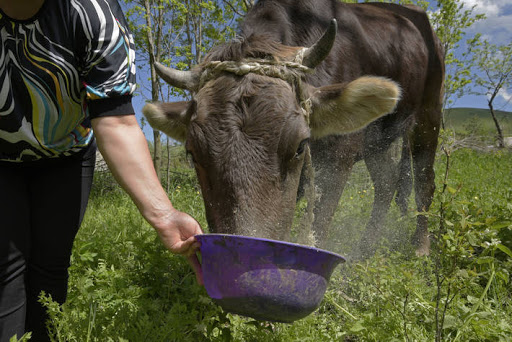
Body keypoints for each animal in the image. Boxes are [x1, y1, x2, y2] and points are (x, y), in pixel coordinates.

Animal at [143, 0, 444, 256]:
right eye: (192, 154)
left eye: (301, 146)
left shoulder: (339, 155)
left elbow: (320, 223)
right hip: (377, 139)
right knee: (386, 182)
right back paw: (365, 250)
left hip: (429, 113)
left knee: (424, 181)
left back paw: (421, 247)